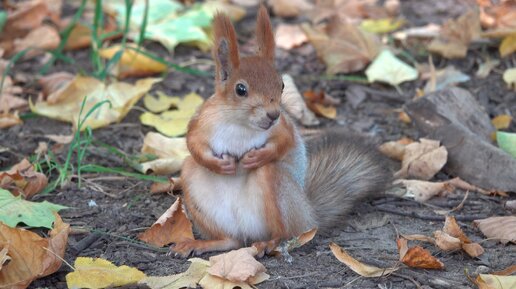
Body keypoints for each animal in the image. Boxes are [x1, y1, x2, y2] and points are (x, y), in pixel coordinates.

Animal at [171, 5, 390, 255]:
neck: (240, 124)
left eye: (282, 84)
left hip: (280, 193)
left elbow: (285, 141)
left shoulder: (284, 126)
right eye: (240, 89)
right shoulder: (202, 122)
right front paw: (219, 164)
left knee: (284, 233)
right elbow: (193, 143)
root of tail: (309, 215)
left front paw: (257, 157)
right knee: (231, 241)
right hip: (196, 188)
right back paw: (203, 243)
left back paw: (269, 242)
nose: (272, 114)